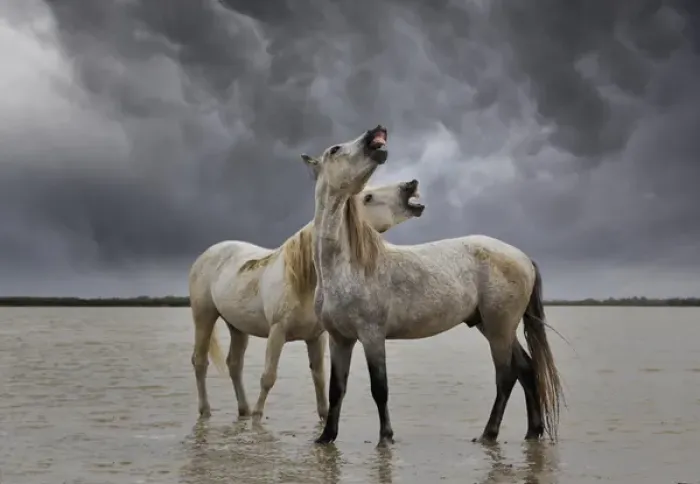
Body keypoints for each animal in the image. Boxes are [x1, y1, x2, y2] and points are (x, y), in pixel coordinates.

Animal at [188, 180, 425, 421]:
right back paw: (206, 410)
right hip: (204, 316)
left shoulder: (316, 336)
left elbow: (319, 377)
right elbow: (268, 377)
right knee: (200, 361)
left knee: (234, 364)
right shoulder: (277, 332)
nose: (409, 186)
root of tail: (208, 253)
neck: (303, 280)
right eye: (367, 197)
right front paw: (258, 416)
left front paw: (323, 417)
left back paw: (243, 411)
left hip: (237, 326)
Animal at [299, 125, 564, 446]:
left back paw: (488, 434)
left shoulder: (372, 336)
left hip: (499, 328)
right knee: (526, 369)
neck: (344, 268)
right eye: (336, 149)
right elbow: (337, 389)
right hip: (492, 326)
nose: (376, 133)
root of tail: (522, 256)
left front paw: (386, 437)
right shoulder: (340, 339)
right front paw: (326, 437)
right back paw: (532, 431)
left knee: (506, 375)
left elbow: (380, 388)